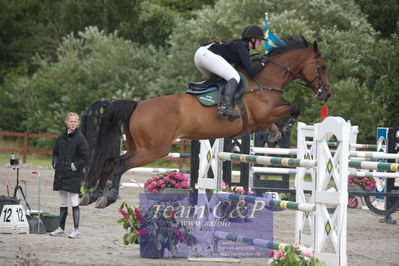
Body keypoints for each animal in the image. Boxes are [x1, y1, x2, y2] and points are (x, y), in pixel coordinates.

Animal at [80, 35, 332, 208]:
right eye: (322, 66)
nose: (326, 94)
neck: (264, 81)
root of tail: (138, 105)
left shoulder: (262, 119)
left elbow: (284, 114)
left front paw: (275, 132)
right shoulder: (264, 114)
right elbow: (293, 107)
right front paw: (284, 127)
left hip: (138, 146)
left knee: (110, 162)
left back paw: (93, 195)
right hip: (153, 150)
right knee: (120, 165)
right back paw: (108, 197)